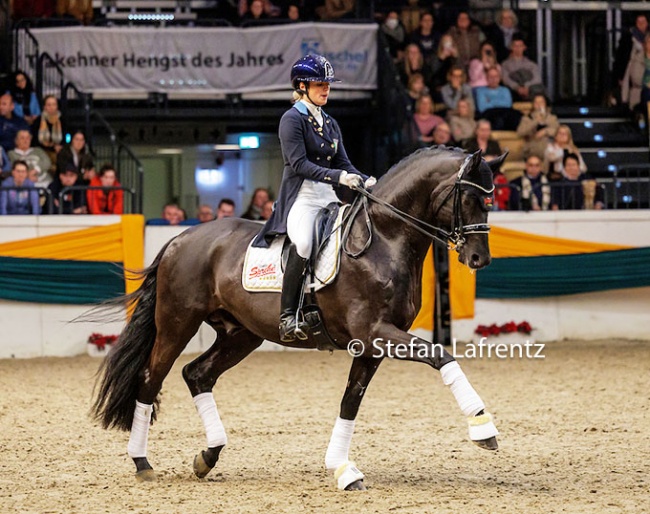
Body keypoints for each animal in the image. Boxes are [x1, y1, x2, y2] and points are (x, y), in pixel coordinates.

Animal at [91, 145, 502, 488]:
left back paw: (208, 456)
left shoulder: (372, 344)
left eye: (491, 199)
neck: (384, 239)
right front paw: (482, 427)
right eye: (472, 197)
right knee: (150, 379)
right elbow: (442, 356)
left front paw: (342, 469)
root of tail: (181, 238)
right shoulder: (373, 332)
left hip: (241, 334)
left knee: (197, 374)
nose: (479, 259)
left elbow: (350, 402)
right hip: (178, 322)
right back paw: (142, 462)